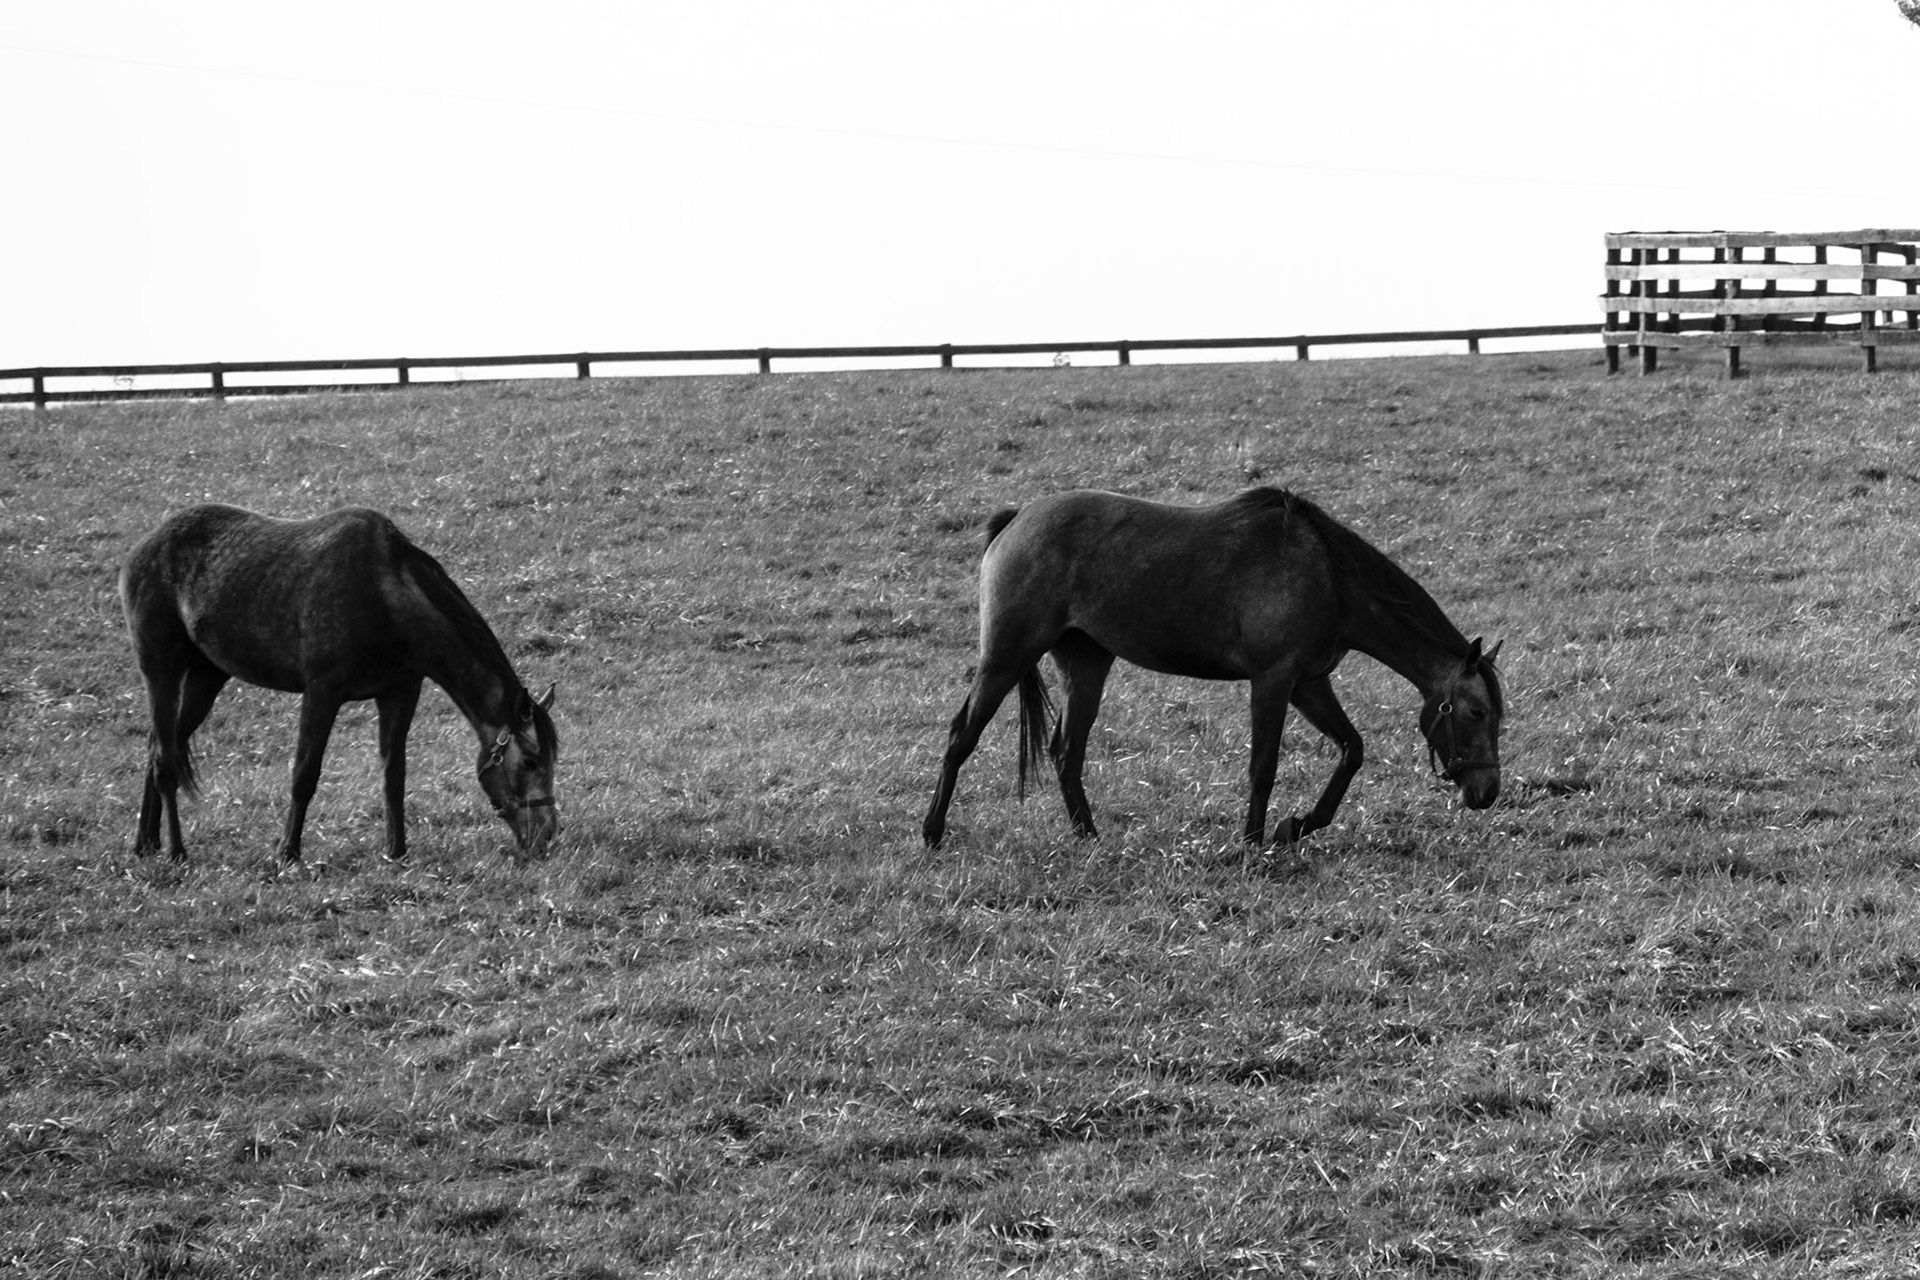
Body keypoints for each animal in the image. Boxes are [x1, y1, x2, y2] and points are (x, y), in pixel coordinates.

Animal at [119, 504, 559, 864]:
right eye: (531, 761)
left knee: (159, 746)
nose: (548, 834)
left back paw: (146, 842)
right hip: (160, 670)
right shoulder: (322, 693)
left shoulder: (400, 692)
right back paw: (176, 851)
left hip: (206, 676)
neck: (384, 594)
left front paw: (396, 851)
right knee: (165, 758)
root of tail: (144, 547)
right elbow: (304, 774)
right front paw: (288, 853)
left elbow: (394, 775)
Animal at [923, 486, 1503, 848]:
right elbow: (1263, 766)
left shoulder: (1308, 683)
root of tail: (1017, 519)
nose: (1487, 793)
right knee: (961, 736)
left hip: (1085, 663)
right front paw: (1251, 841)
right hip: (1005, 657)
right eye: (1475, 712)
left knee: (1067, 751)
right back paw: (932, 831)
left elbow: (1352, 750)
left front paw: (1296, 826)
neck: (1328, 576)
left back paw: (1089, 837)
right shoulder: (1273, 680)